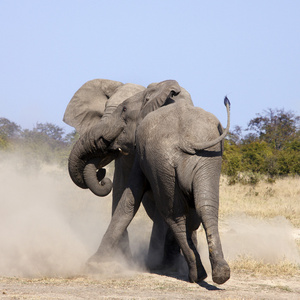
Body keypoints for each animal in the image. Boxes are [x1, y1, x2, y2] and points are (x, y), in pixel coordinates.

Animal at [64, 78, 193, 266]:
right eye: (104, 108)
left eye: (124, 111)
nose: (102, 175)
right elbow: (121, 190)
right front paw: (120, 259)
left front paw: (153, 264)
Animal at [90, 85, 231, 284]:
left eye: (124, 110)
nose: (102, 175)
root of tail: (186, 140)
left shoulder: (141, 152)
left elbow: (129, 200)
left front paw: (92, 263)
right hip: (203, 159)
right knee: (204, 206)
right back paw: (216, 273)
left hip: (169, 161)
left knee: (174, 214)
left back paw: (196, 273)